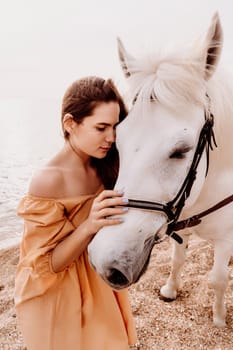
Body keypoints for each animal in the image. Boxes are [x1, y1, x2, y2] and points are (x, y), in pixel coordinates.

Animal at [88, 11, 233, 328]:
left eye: (181, 151)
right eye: (118, 141)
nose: (106, 264)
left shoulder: (226, 238)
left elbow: (218, 278)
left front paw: (218, 319)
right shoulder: (181, 221)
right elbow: (177, 260)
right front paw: (170, 289)